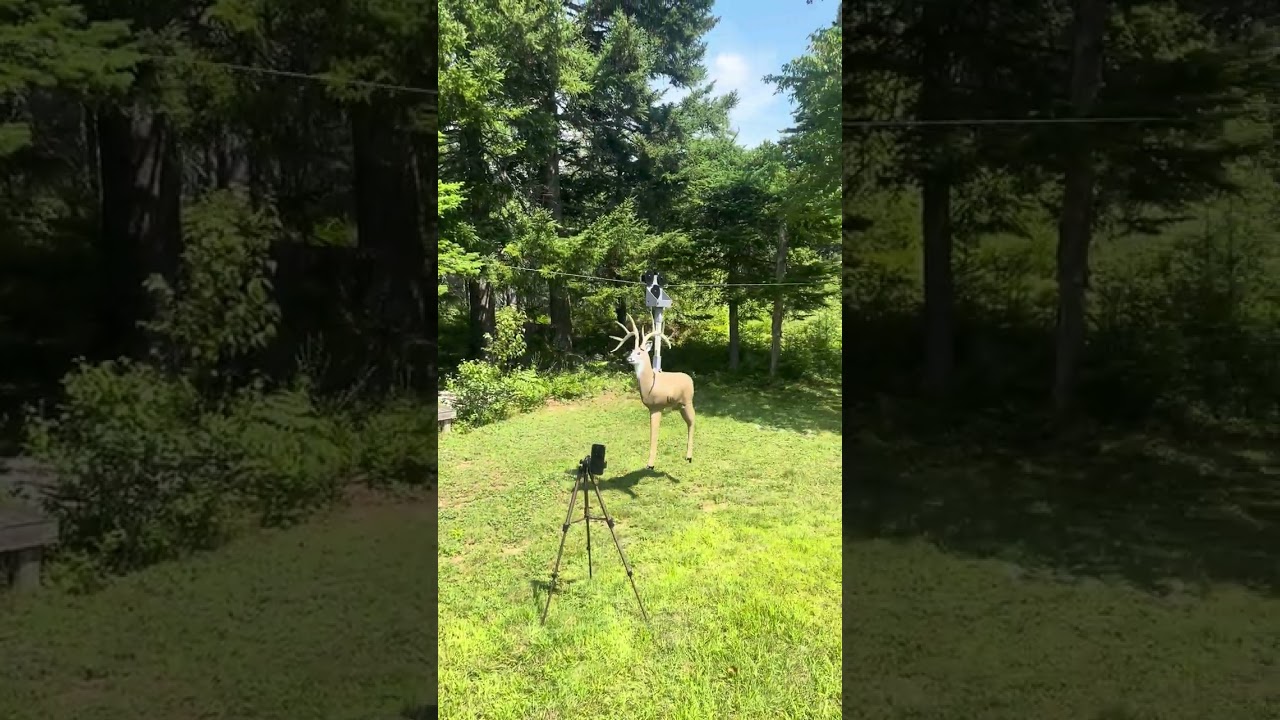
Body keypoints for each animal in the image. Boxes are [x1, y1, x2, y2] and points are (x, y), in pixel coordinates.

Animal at [610, 314, 695, 470]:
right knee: (689, 422)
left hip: (687, 402)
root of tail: (690, 379)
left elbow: (654, 433)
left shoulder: (657, 407)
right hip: (680, 406)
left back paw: (689, 457)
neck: (650, 382)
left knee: (693, 422)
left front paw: (650, 465)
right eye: (631, 351)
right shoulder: (651, 409)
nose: (629, 358)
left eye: (640, 352)